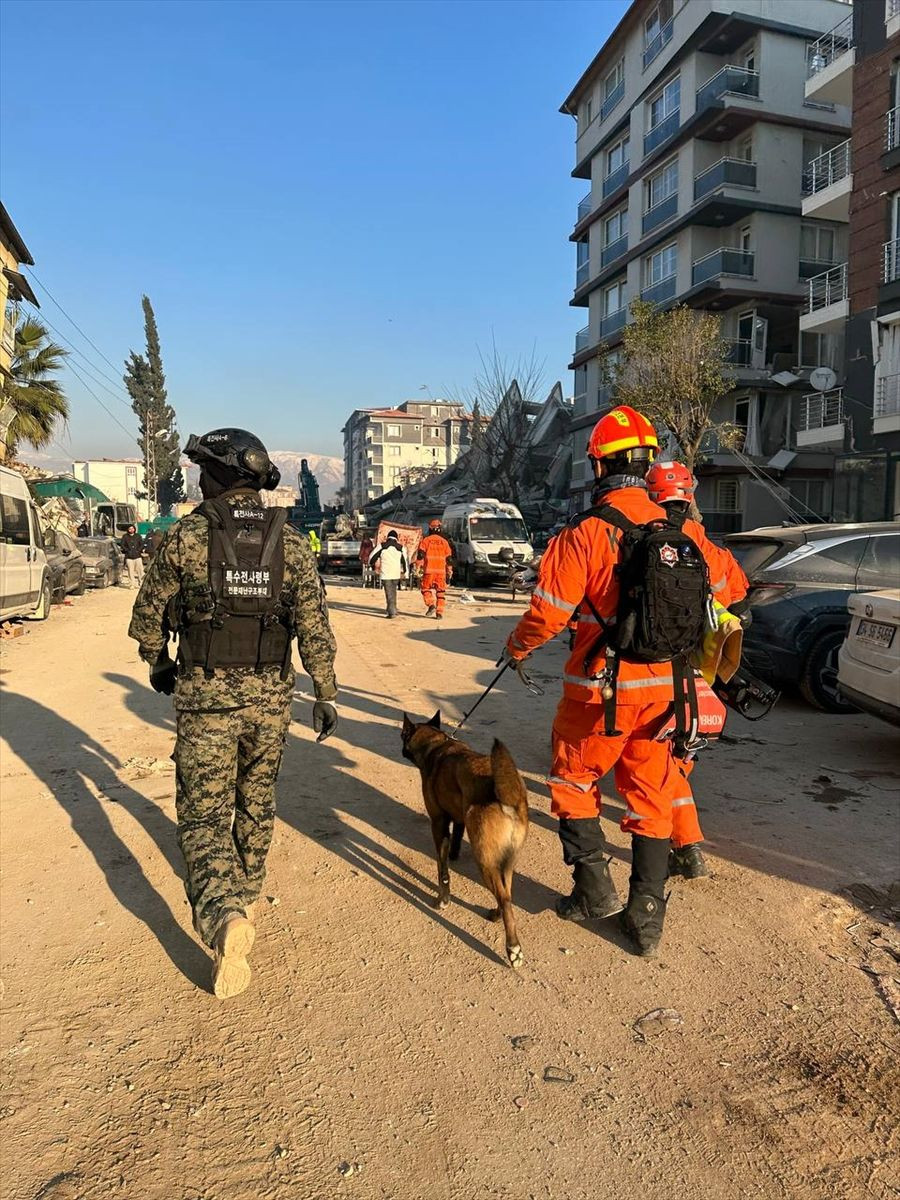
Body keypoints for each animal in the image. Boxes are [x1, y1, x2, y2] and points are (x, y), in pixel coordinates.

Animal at [400, 710, 528, 964]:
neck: (437, 745)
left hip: (485, 861)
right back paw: (496, 914)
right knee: (506, 893)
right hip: (506, 861)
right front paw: (455, 855)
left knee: (504, 898)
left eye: (402, 735)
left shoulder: (439, 823)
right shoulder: (458, 819)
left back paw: (513, 948)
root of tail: (511, 796)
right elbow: (455, 844)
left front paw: (443, 899)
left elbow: (443, 871)